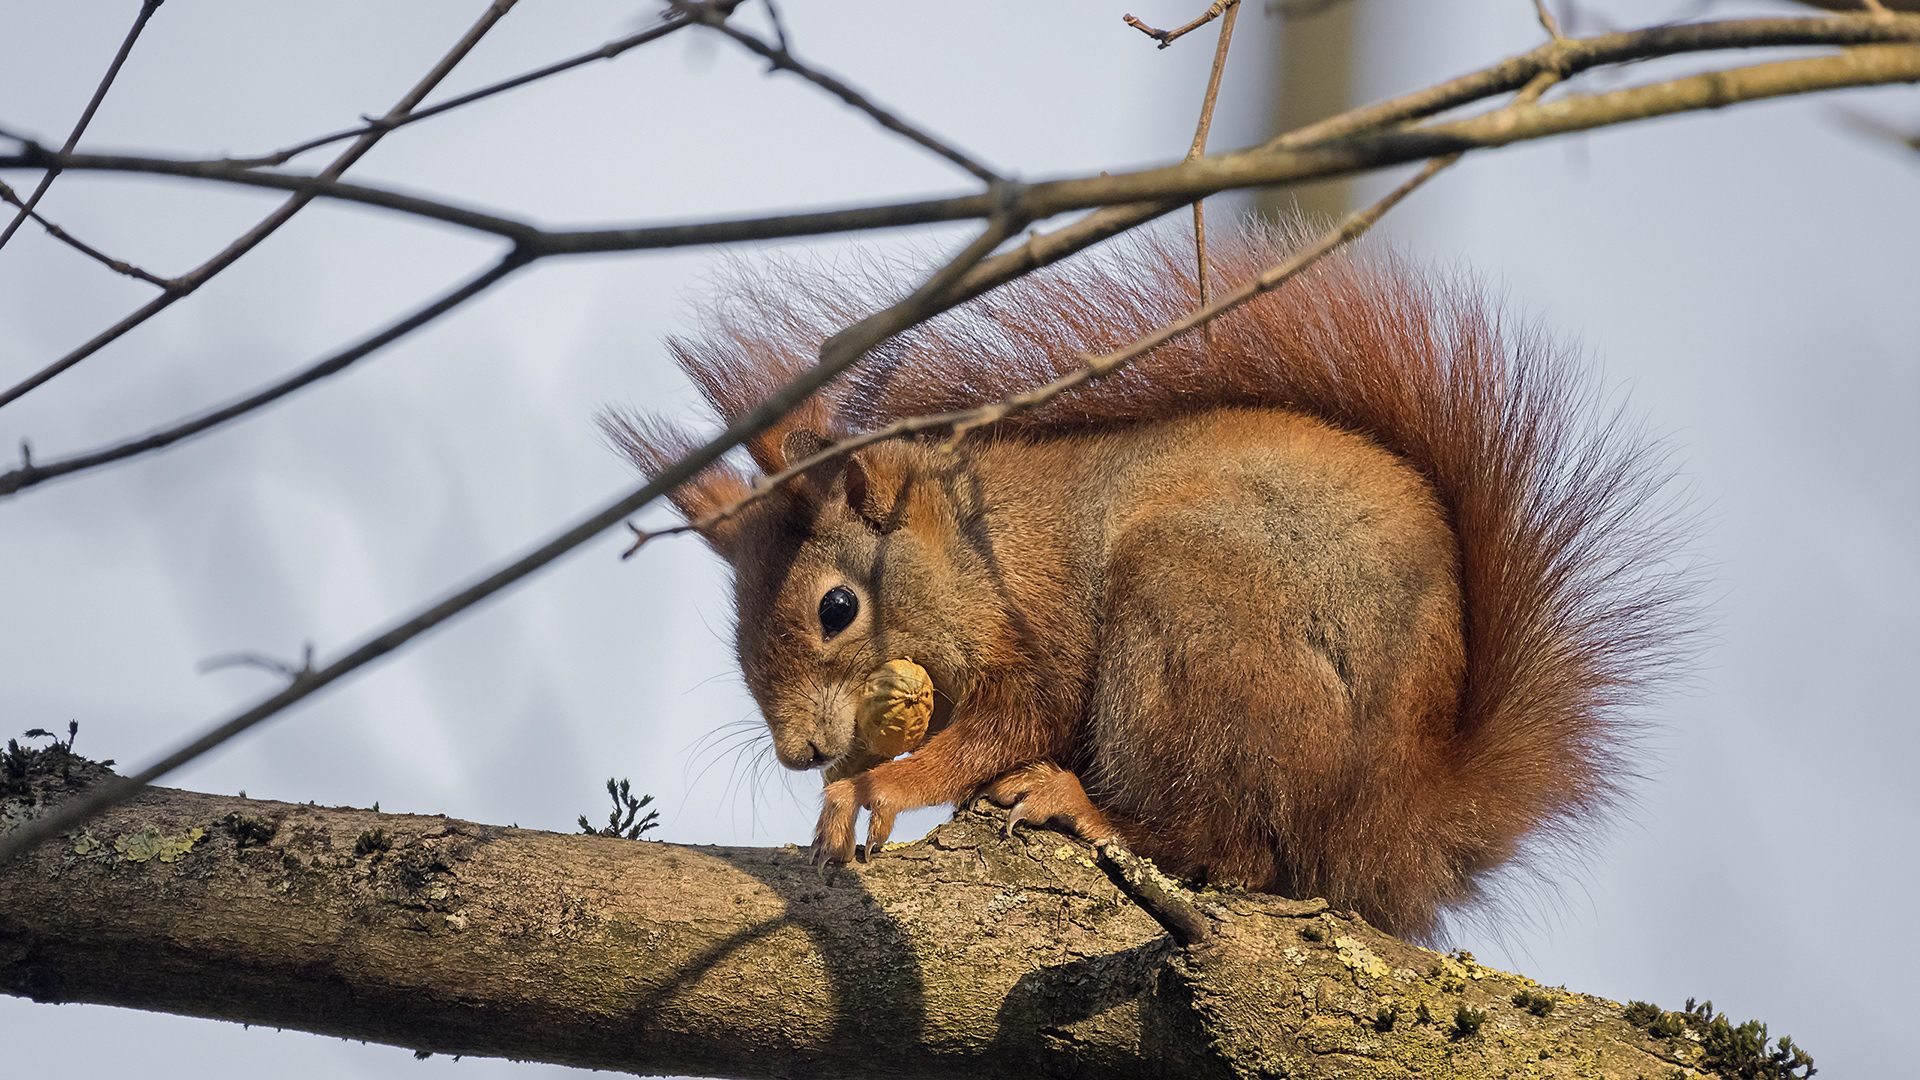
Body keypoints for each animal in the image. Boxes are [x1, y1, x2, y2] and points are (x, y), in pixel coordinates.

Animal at [604, 225, 1695, 941]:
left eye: (837, 608)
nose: (798, 753)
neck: (973, 547)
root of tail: (1401, 816)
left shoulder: (1040, 633)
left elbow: (1018, 719)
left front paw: (876, 786)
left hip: (1190, 614)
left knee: (1235, 846)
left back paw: (1079, 804)